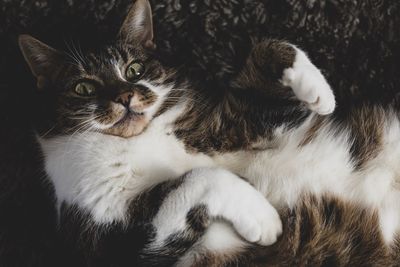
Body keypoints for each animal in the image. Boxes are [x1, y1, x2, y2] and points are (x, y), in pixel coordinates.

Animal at [18, 0, 400, 266]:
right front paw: (264, 219)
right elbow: (199, 176)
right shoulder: (111, 247)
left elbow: (266, 48)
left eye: (134, 69)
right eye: (83, 87)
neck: (134, 144)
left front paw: (320, 93)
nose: (125, 97)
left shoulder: (230, 128)